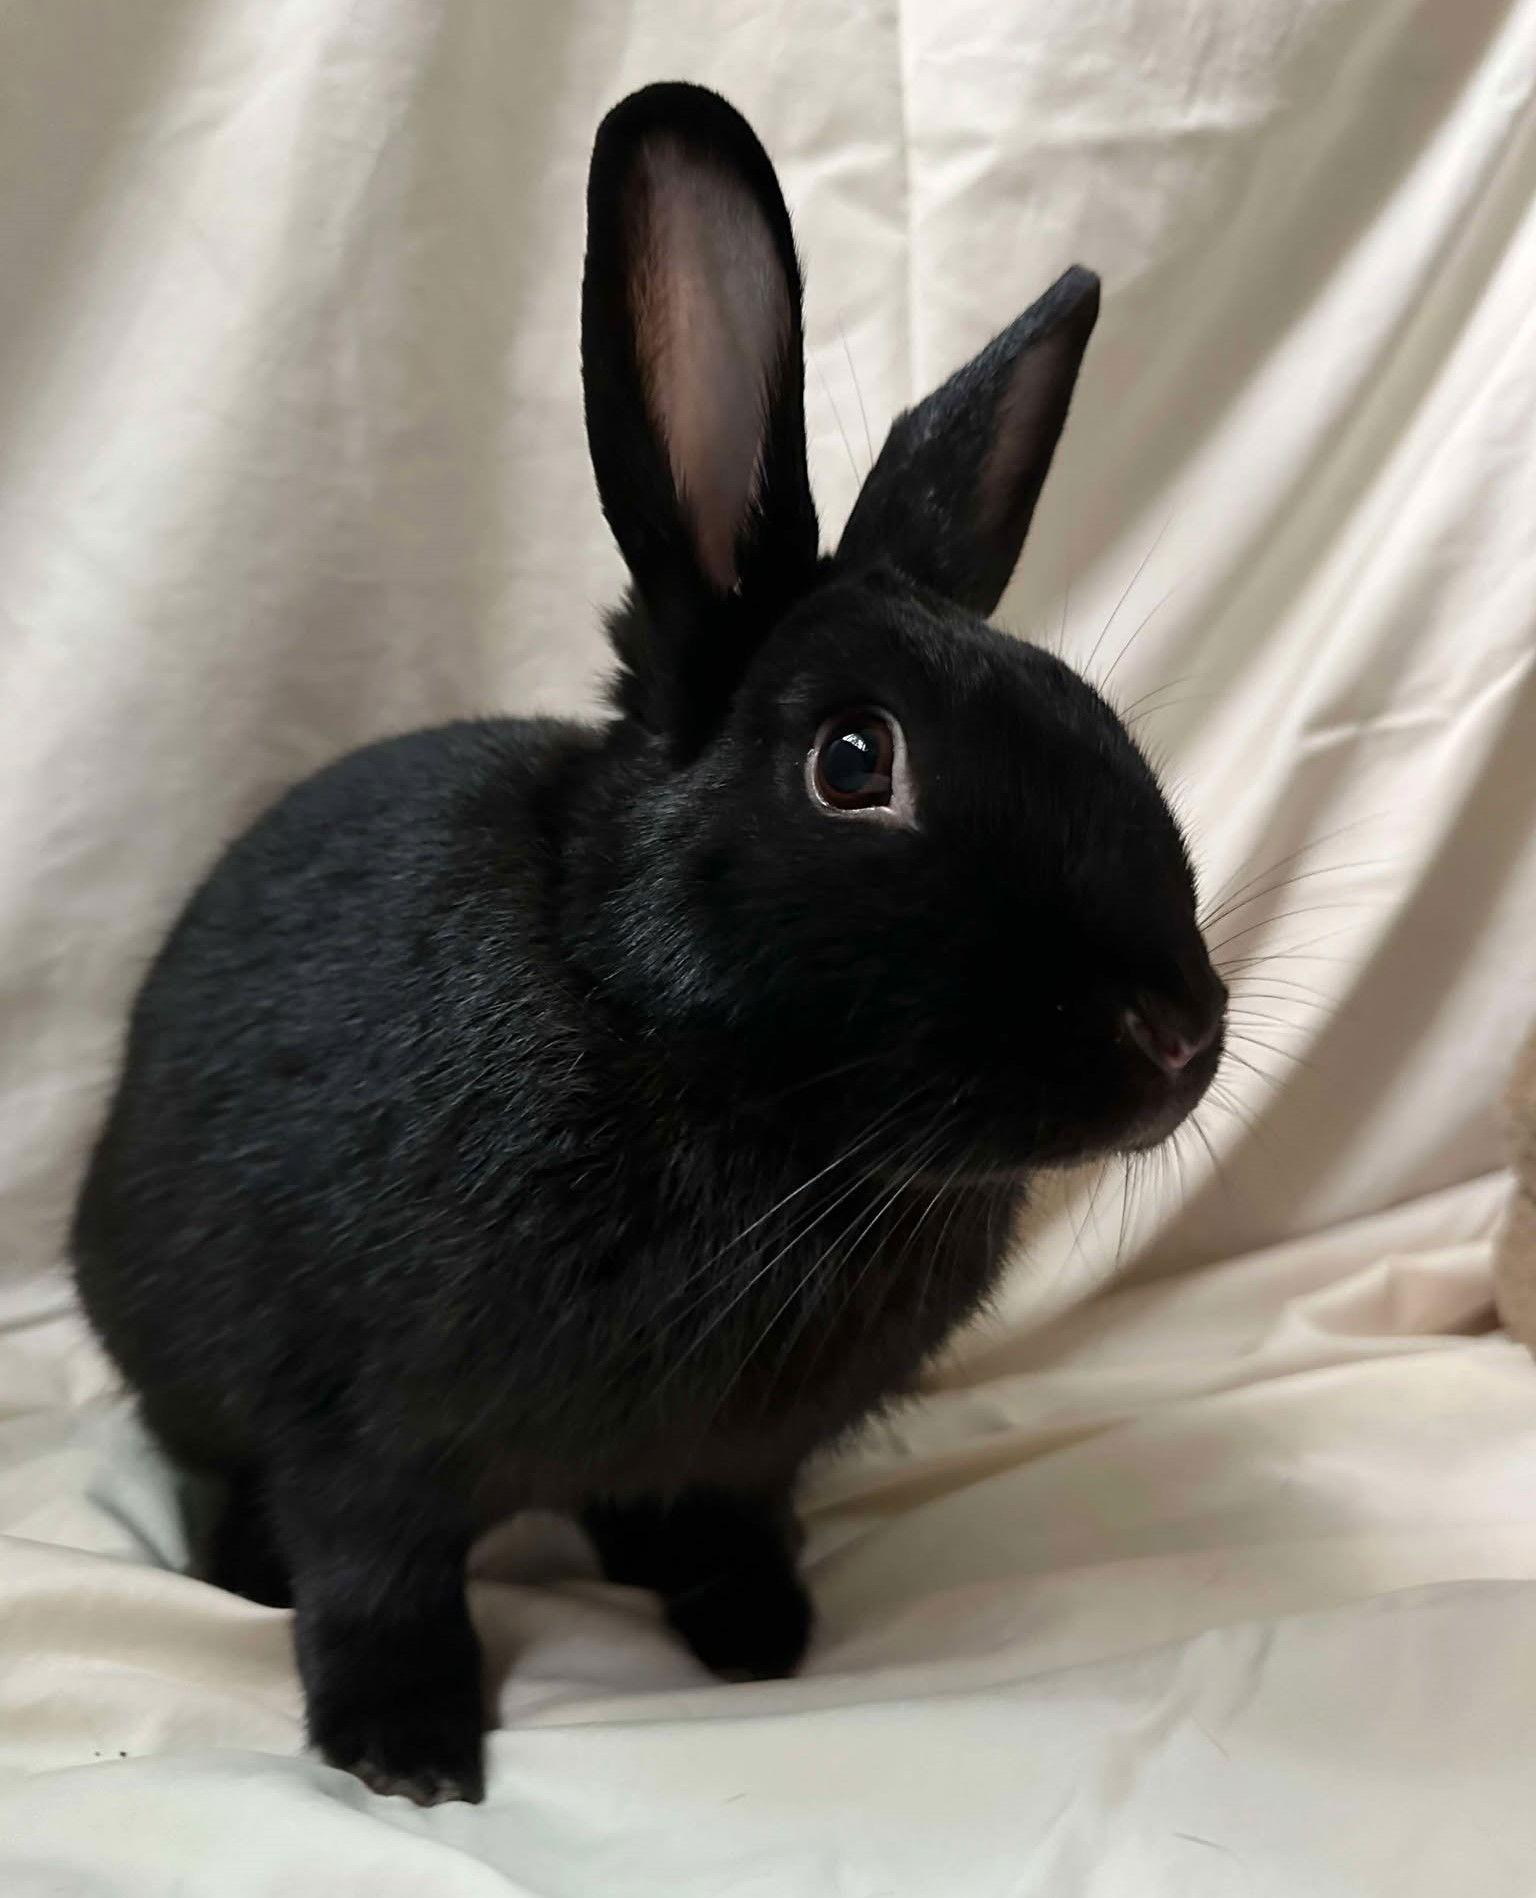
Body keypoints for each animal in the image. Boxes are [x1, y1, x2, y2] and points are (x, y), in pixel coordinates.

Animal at [71, 81, 1227, 1806]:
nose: (1178, 1034)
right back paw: (237, 1576)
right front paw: (407, 1751)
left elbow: (723, 1514)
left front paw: (759, 1634)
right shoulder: (359, 1427)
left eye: (1091, 714)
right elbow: (373, 1570)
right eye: (854, 761)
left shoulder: (739, 1456)